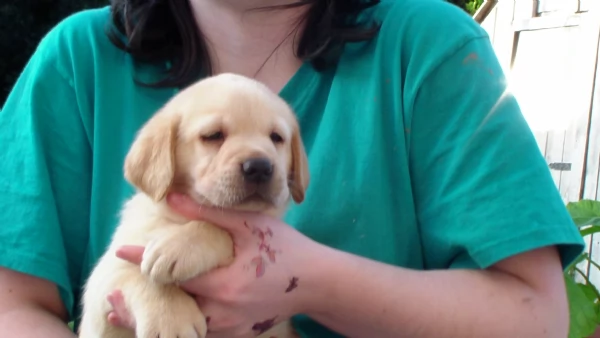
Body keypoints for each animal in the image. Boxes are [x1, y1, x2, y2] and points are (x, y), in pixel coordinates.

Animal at [78, 73, 310, 338]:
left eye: (276, 138)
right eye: (213, 135)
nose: (260, 167)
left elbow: (217, 226)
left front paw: (177, 247)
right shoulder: (103, 281)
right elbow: (139, 273)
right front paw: (170, 321)